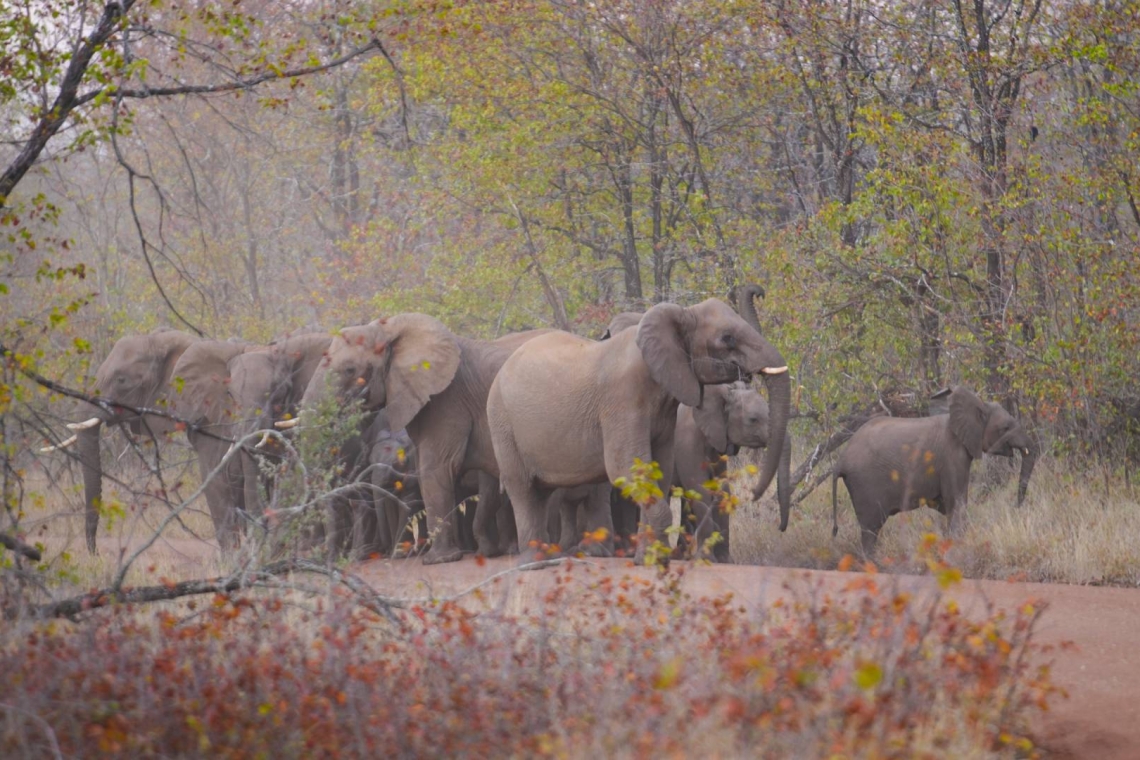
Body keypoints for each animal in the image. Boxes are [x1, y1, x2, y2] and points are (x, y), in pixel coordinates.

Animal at [670, 382, 788, 562]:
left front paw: (725, 560)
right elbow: (699, 487)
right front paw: (706, 559)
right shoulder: (686, 442)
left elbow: (722, 489)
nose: (780, 528)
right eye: (753, 420)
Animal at [829, 389, 1035, 556]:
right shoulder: (952, 456)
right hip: (865, 485)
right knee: (871, 530)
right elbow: (957, 503)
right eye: (1005, 428)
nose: (1016, 507)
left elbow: (945, 506)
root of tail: (841, 461)